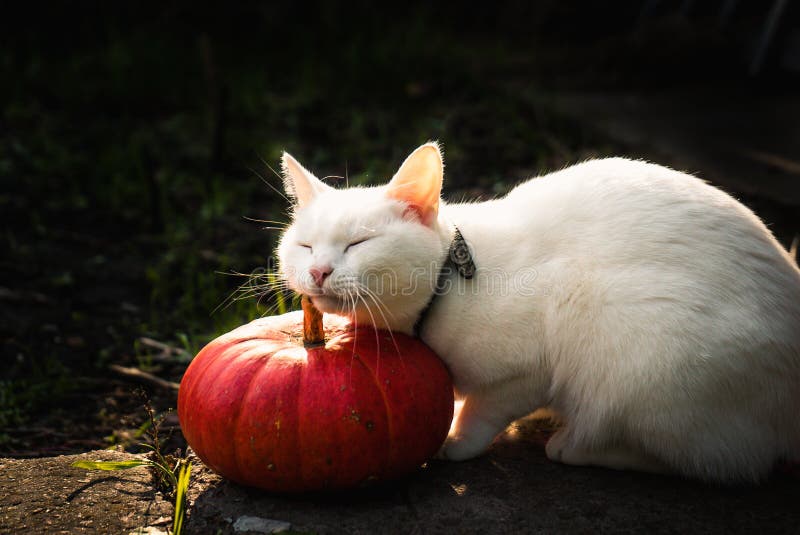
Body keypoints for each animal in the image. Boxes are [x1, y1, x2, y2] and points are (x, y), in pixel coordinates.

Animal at [276, 143, 800, 486]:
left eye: (358, 244)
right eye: (305, 247)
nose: (319, 271)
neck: (447, 288)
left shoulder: (528, 366)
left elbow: (484, 410)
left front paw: (455, 440)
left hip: (638, 349)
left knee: (727, 462)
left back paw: (576, 445)